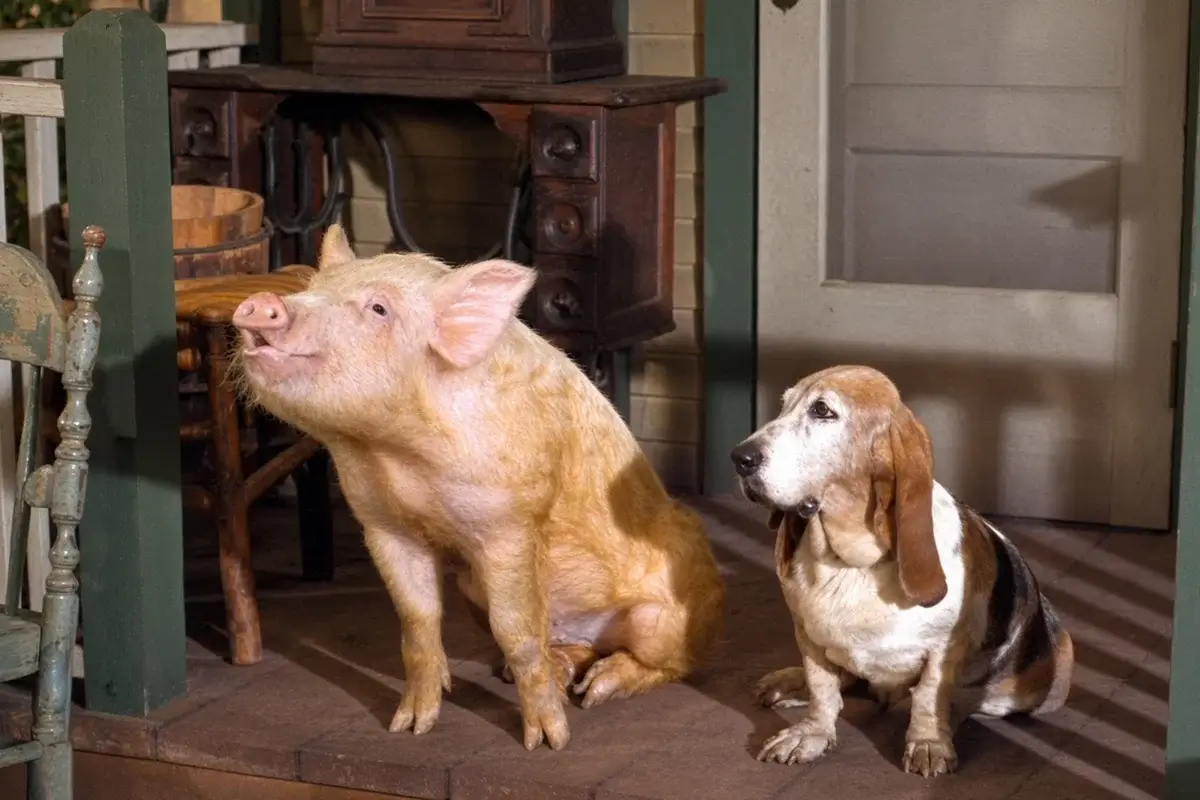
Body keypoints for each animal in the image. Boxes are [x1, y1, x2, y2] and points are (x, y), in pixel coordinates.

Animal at [231, 225, 725, 751]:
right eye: (312, 286)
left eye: (379, 308)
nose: (262, 304)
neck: (394, 455)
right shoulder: (383, 525)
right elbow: (417, 621)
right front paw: (410, 727)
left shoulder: (510, 526)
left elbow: (517, 630)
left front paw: (548, 742)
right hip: (473, 587)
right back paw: (560, 671)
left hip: (667, 617)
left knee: (671, 662)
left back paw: (595, 690)